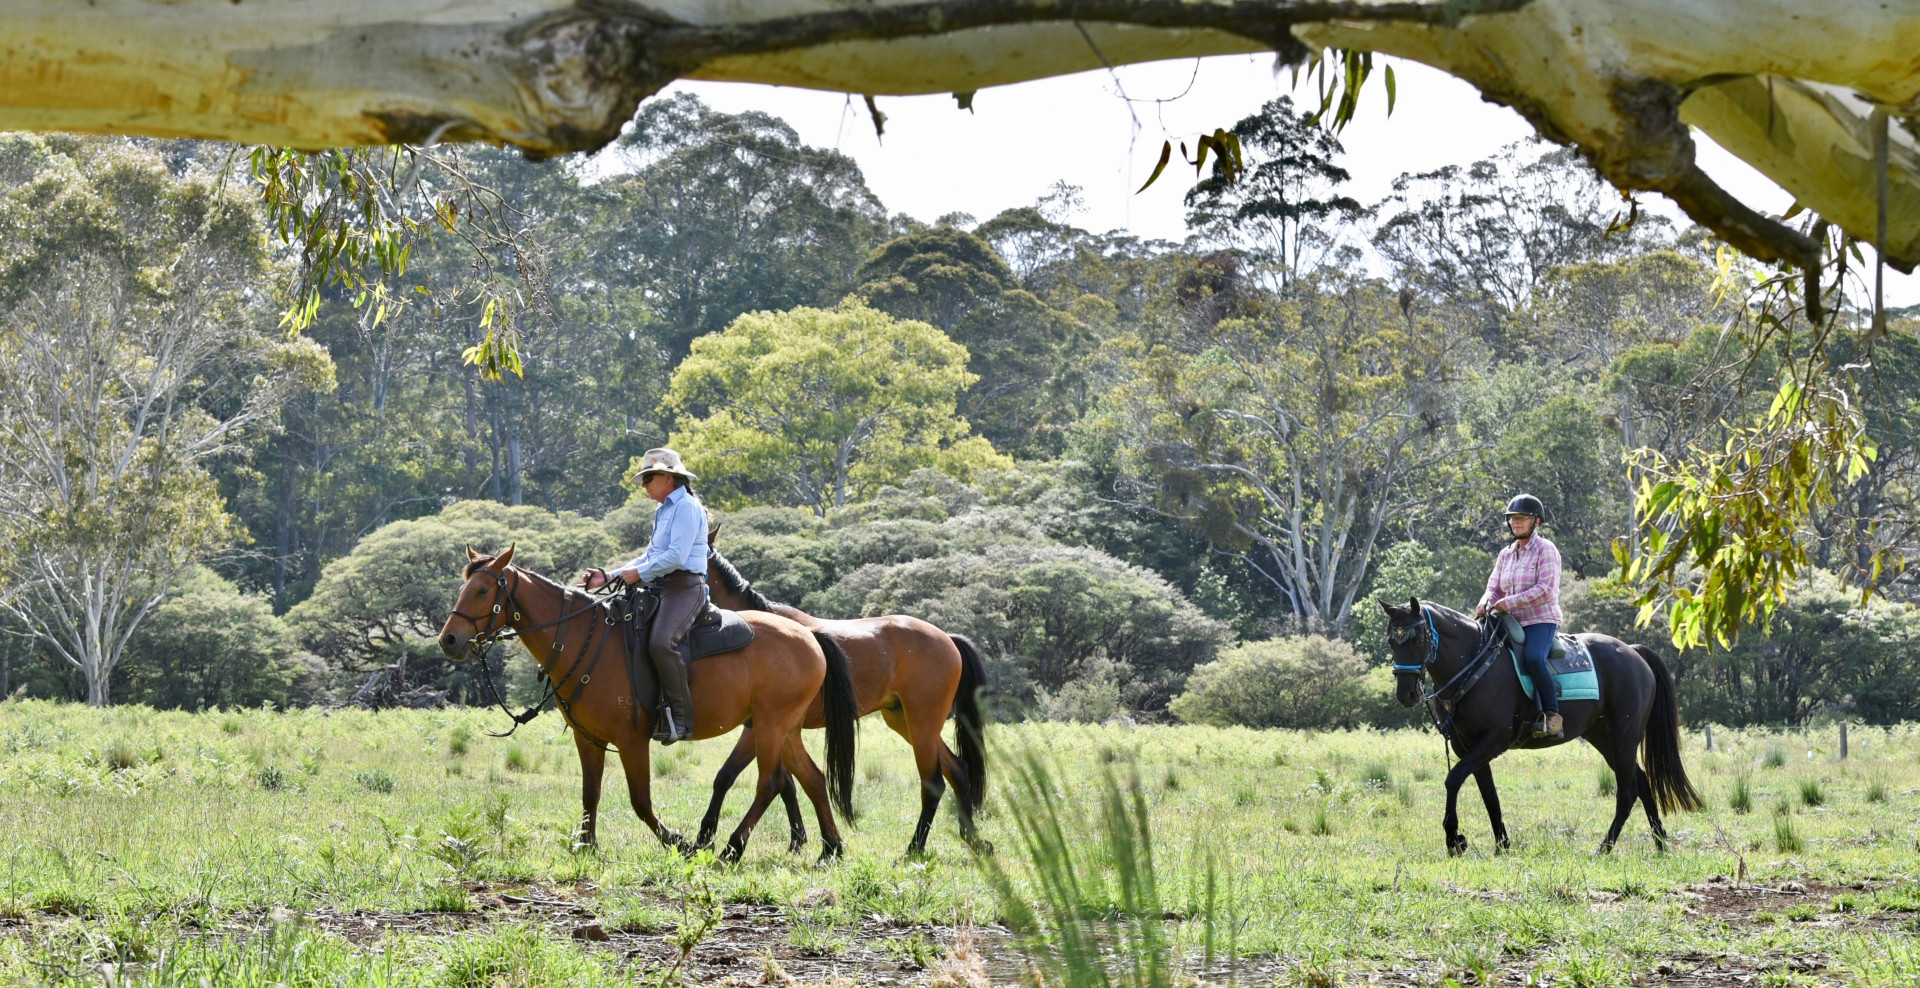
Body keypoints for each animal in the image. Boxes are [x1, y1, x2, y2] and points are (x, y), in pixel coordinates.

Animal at [439, 548, 860, 867]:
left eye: (481, 590)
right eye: (465, 588)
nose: (449, 640)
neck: (582, 639)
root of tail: (810, 635)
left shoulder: (631, 741)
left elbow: (640, 801)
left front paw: (681, 842)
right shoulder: (587, 740)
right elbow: (589, 795)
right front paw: (586, 846)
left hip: (770, 727)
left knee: (770, 783)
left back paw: (731, 848)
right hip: (782, 729)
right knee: (813, 778)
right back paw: (830, 849)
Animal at [695, 548, 990, 859]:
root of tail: (949, 639)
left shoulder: (760, 728)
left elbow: (734, 776)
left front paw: (710, 836)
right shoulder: (772, 728)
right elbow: (787, 784)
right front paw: (799, 839)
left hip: (922, 725)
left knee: (934, 782)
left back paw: (915, 847)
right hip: (908, 723)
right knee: (958, 770)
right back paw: (973, 839)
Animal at [1374, 598, 1704, 855]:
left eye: (1418, 640)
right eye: (1391, 641)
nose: (1406, 695)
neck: (1476, 665)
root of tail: (1634, 653)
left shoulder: (1492, 741)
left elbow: (1452, 780)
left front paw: (1454, 839)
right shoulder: (1468, 747)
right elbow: (1489, 795)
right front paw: (1501, 845)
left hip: (1624, 738)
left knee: (1627, 791)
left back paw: (1604, 848)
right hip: (1605, 739)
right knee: (1643, 783)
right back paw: (1660, 844)